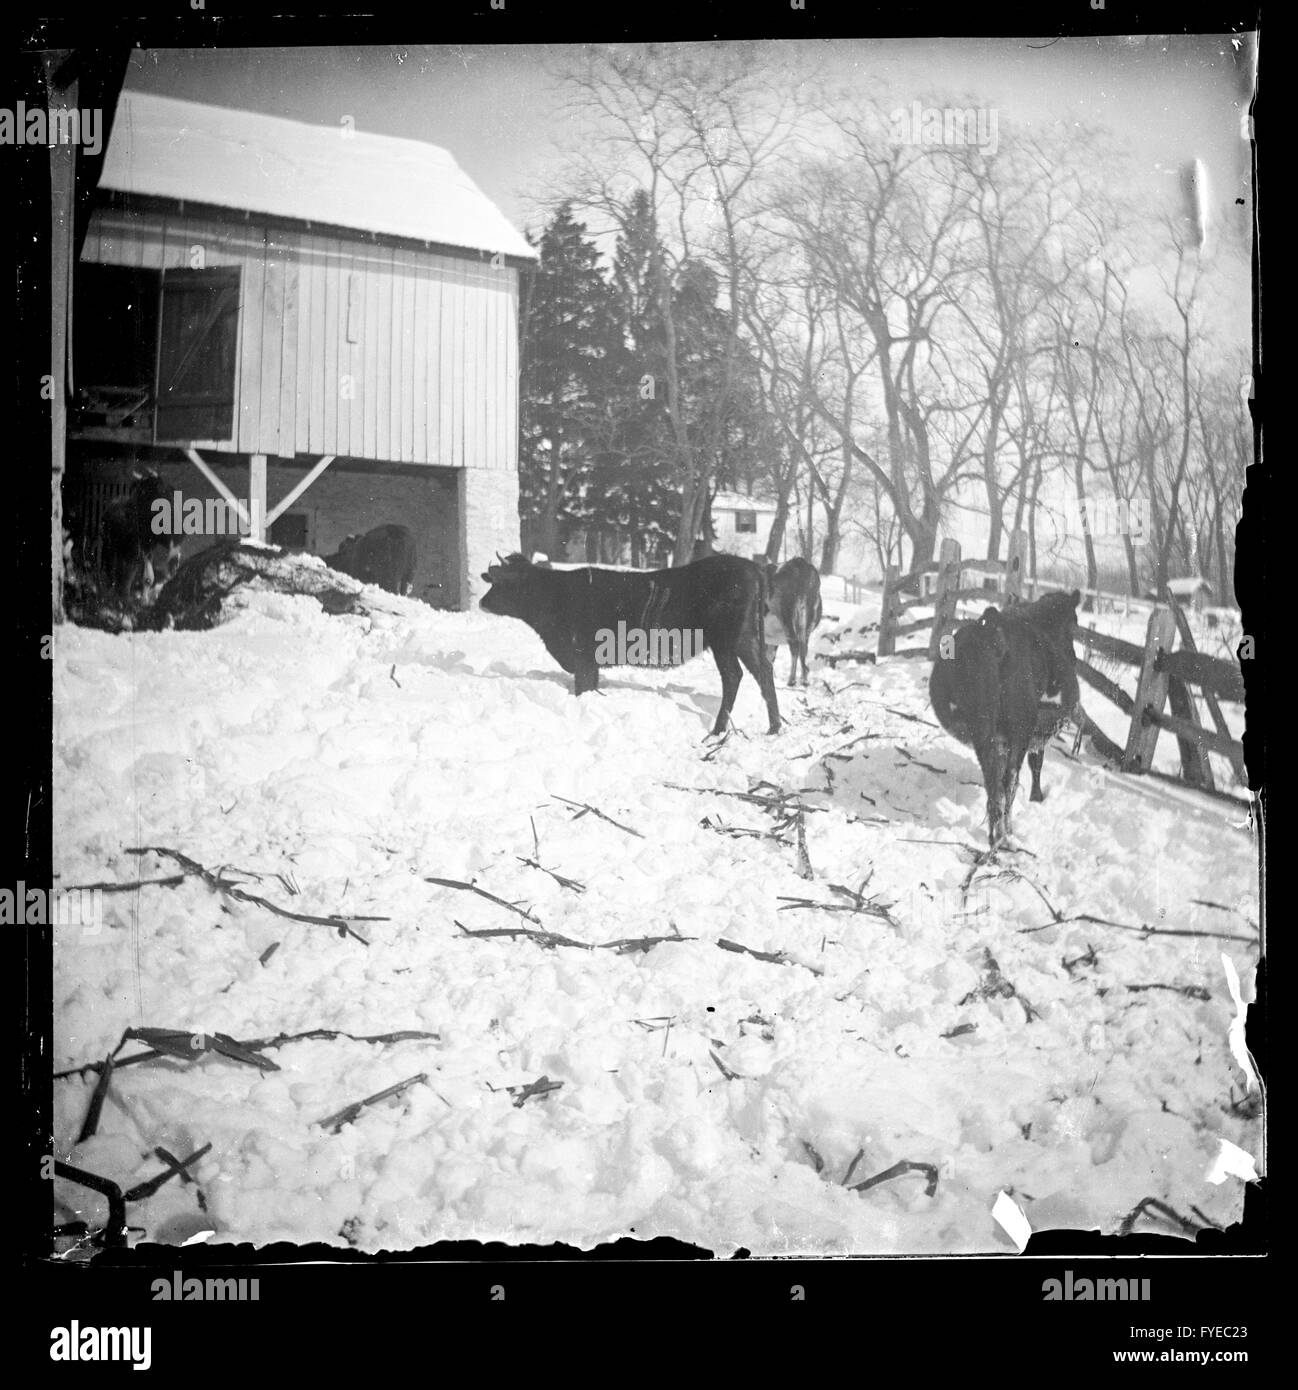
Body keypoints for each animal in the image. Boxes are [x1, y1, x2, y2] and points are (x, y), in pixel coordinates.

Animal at [478, 550, 783, 739]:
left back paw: (718, 731)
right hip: (745, 639)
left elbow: (583, 688)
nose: (481, 602)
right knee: (763, 672)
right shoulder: (589, 663)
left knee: (733, 676)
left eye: (500, 582)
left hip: (725, 640)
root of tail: (751, 567)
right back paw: (774, 727)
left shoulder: (582, 657)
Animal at [761, 558, 822, 689]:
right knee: (803, 647)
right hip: (806, 621)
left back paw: (792, 680)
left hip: (786, 616)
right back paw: (804, 680)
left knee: (795, 644)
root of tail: (800, 563)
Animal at [928, 586, 1083, 845]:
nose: (1072, 657)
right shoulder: (1033, 732)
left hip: (981, 731)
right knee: (1008, 779)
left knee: (993, 778)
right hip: (1020, 730)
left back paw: (996, 833)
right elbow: (1034, 764)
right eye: (1074, 624)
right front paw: (1036, 797)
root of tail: (990, 632)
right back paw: (1005, 833)